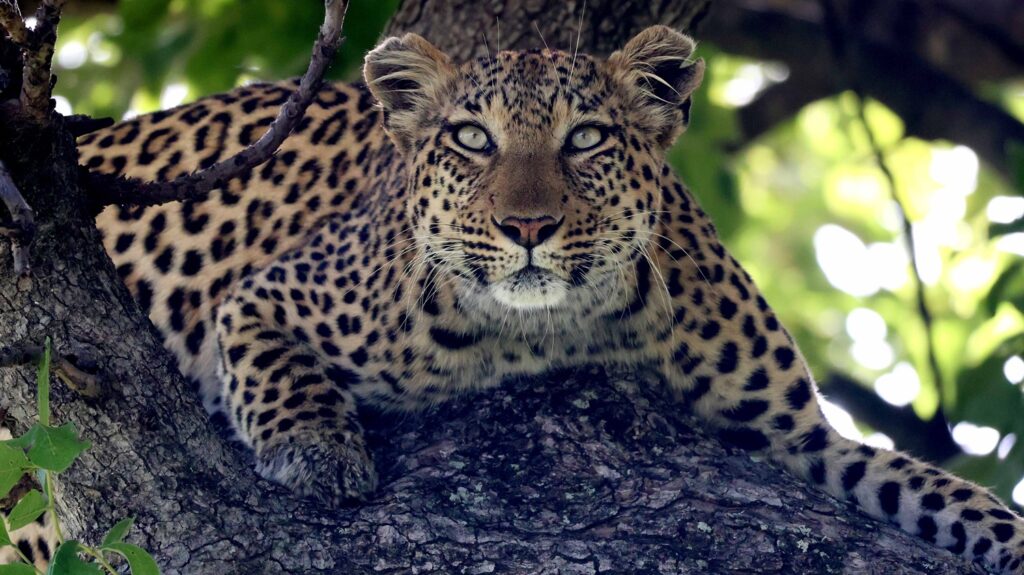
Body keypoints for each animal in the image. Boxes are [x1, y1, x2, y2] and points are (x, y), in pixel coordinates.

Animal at [3, 26, 1023, 574]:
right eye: (471, 139)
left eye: (586, 139)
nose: (527, 224)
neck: (557, 330)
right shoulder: (272, 292)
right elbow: (275, 368)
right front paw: (319, 453)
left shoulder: (798, 437)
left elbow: (946, 492)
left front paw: (1003, 535)